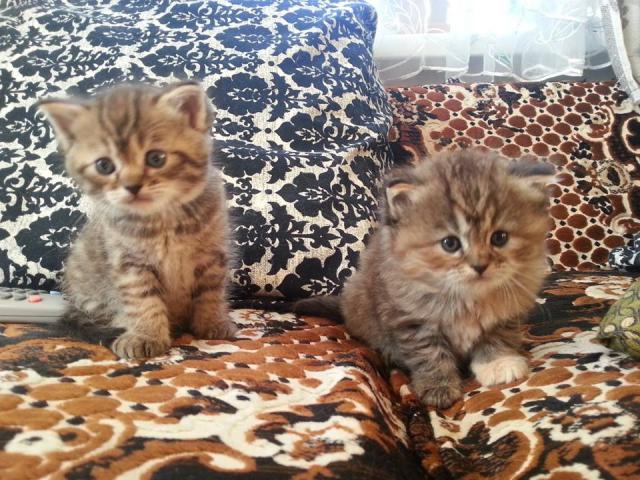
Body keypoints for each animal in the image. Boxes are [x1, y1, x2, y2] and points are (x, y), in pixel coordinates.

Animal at [38, 81, 237, 359]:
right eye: (104, 165)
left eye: (156, 158)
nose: (132, 186)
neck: (164, 220)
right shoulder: (129, 263)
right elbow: (143, 301)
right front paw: (146, 335)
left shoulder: (213, 256)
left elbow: (211, 293)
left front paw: (212, 322)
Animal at [295, 150, 554, 408]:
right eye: (450, 243)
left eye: (499, 238)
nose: (480, 266)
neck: (467, 298)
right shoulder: (411, 320)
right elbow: (429, 354)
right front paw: (438, 386)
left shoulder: (505, 314)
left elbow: (497, 338)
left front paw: (498, 364)